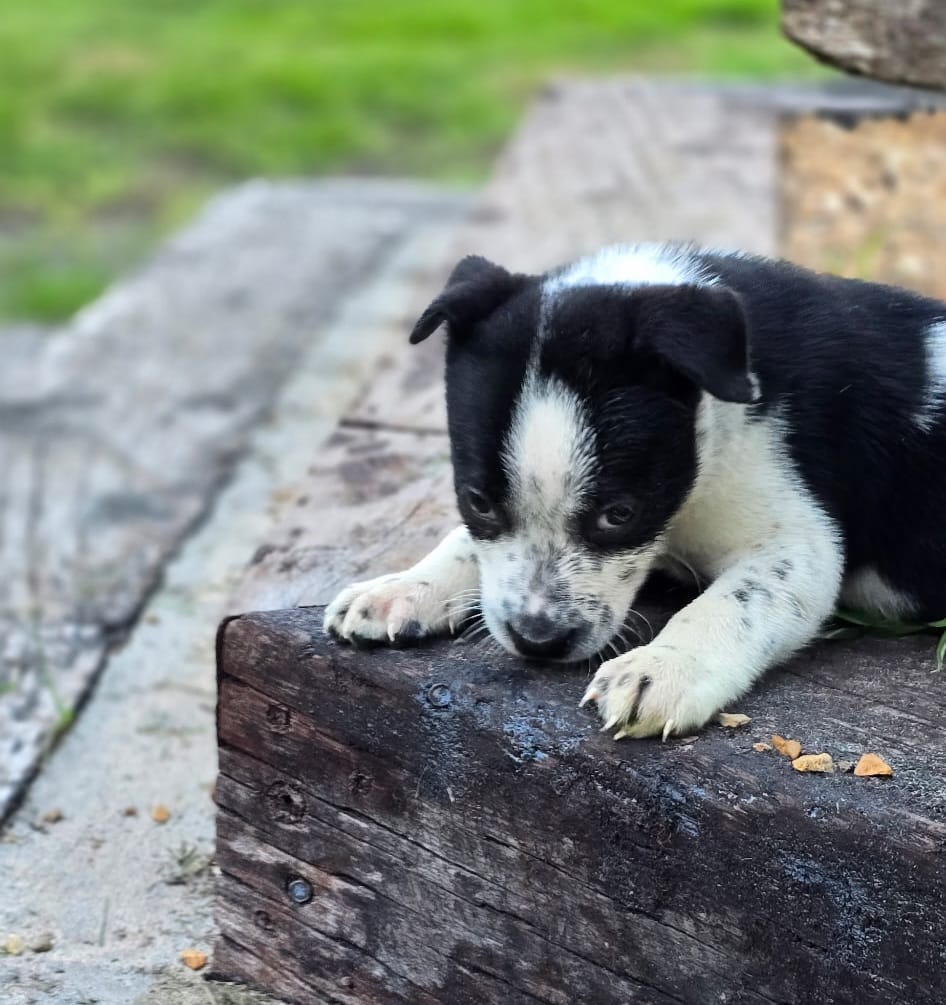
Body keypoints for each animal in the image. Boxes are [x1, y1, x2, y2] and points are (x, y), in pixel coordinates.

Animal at [324, 243, 946, 740]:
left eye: (619, 515)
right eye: (478, 501)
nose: (538, 641)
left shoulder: (798, 546)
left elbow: (734, 603)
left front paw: (664, 667)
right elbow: (462, 541)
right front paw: (406, 586)